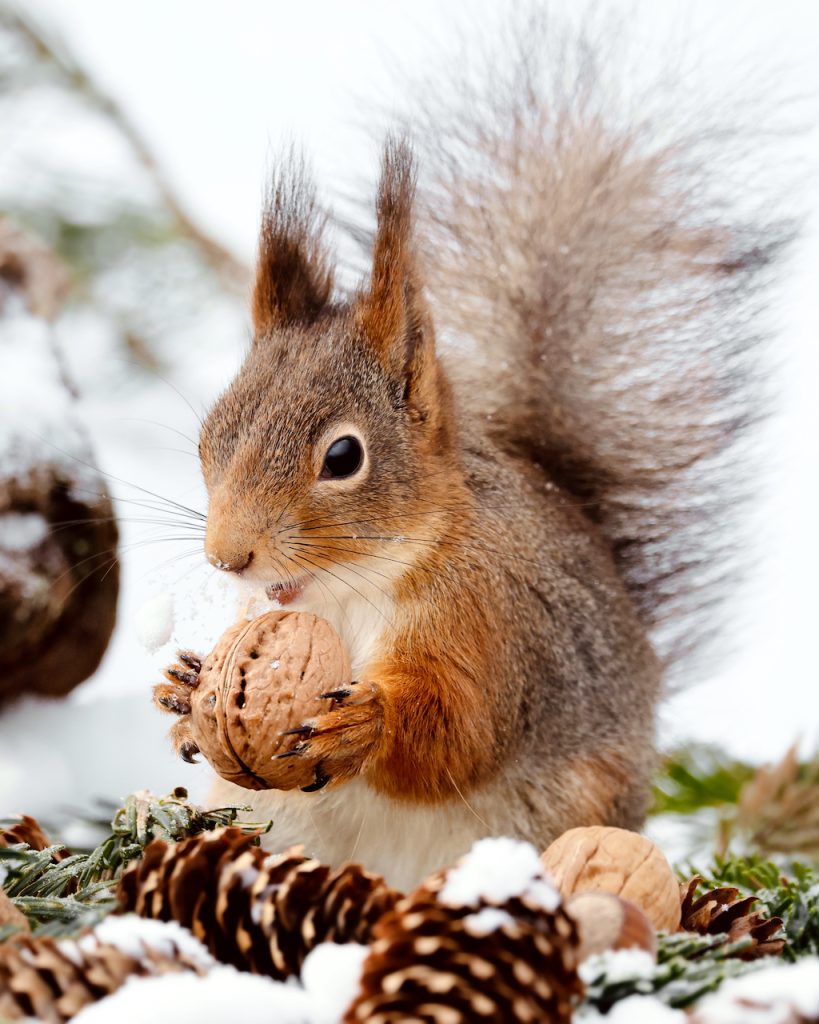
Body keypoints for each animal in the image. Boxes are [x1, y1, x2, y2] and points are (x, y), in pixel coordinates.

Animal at [158, 19, 786, 892]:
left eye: (343, 456)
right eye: (208, 439)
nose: (228, 558)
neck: (353, 588)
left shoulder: (489, 625)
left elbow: (457, 735)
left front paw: (367, 722)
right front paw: (184, 690)